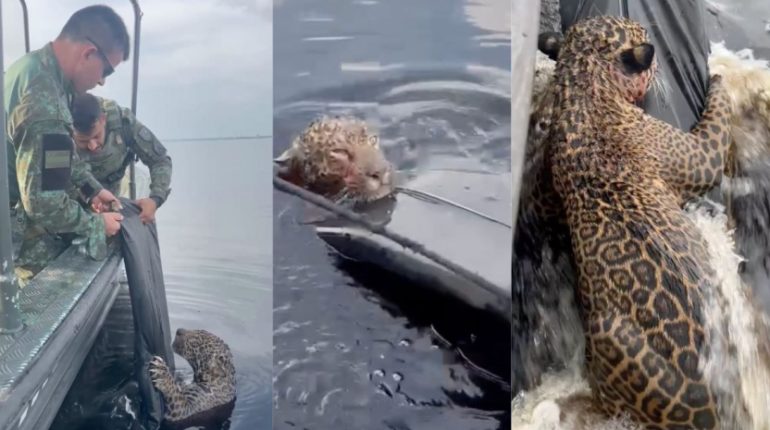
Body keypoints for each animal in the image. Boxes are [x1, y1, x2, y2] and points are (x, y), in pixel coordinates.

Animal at [522, 15, 734, 429]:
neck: (584, 93)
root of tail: (707, 412)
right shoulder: (699, 157)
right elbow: (716, 131)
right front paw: (720, 76)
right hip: (611, 334)